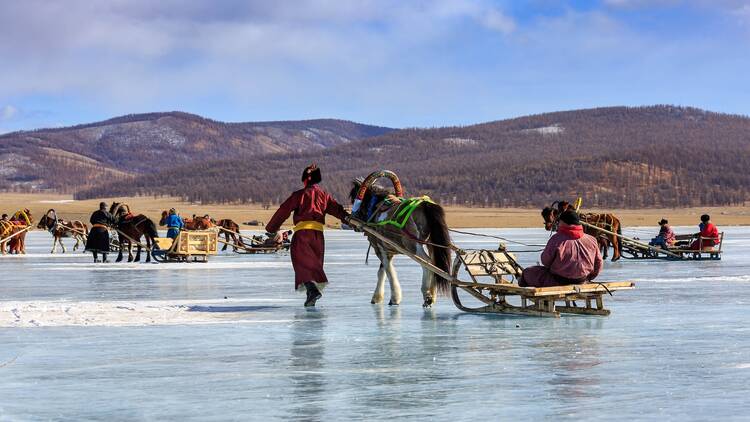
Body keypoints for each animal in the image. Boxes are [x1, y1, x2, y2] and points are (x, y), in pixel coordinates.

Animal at [352, 171, 452, 306]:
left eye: (353, 197)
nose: (352, 219)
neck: (375, 209)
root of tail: (425, 204)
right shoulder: (387, 250)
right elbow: (382, 272)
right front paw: (378, 297)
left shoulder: (380, 248)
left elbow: (388, 271)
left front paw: (394, 298)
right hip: (431, 244)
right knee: (435, 264)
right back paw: (432, 294)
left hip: (412, 245)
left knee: (428, 262)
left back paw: (427, 294)